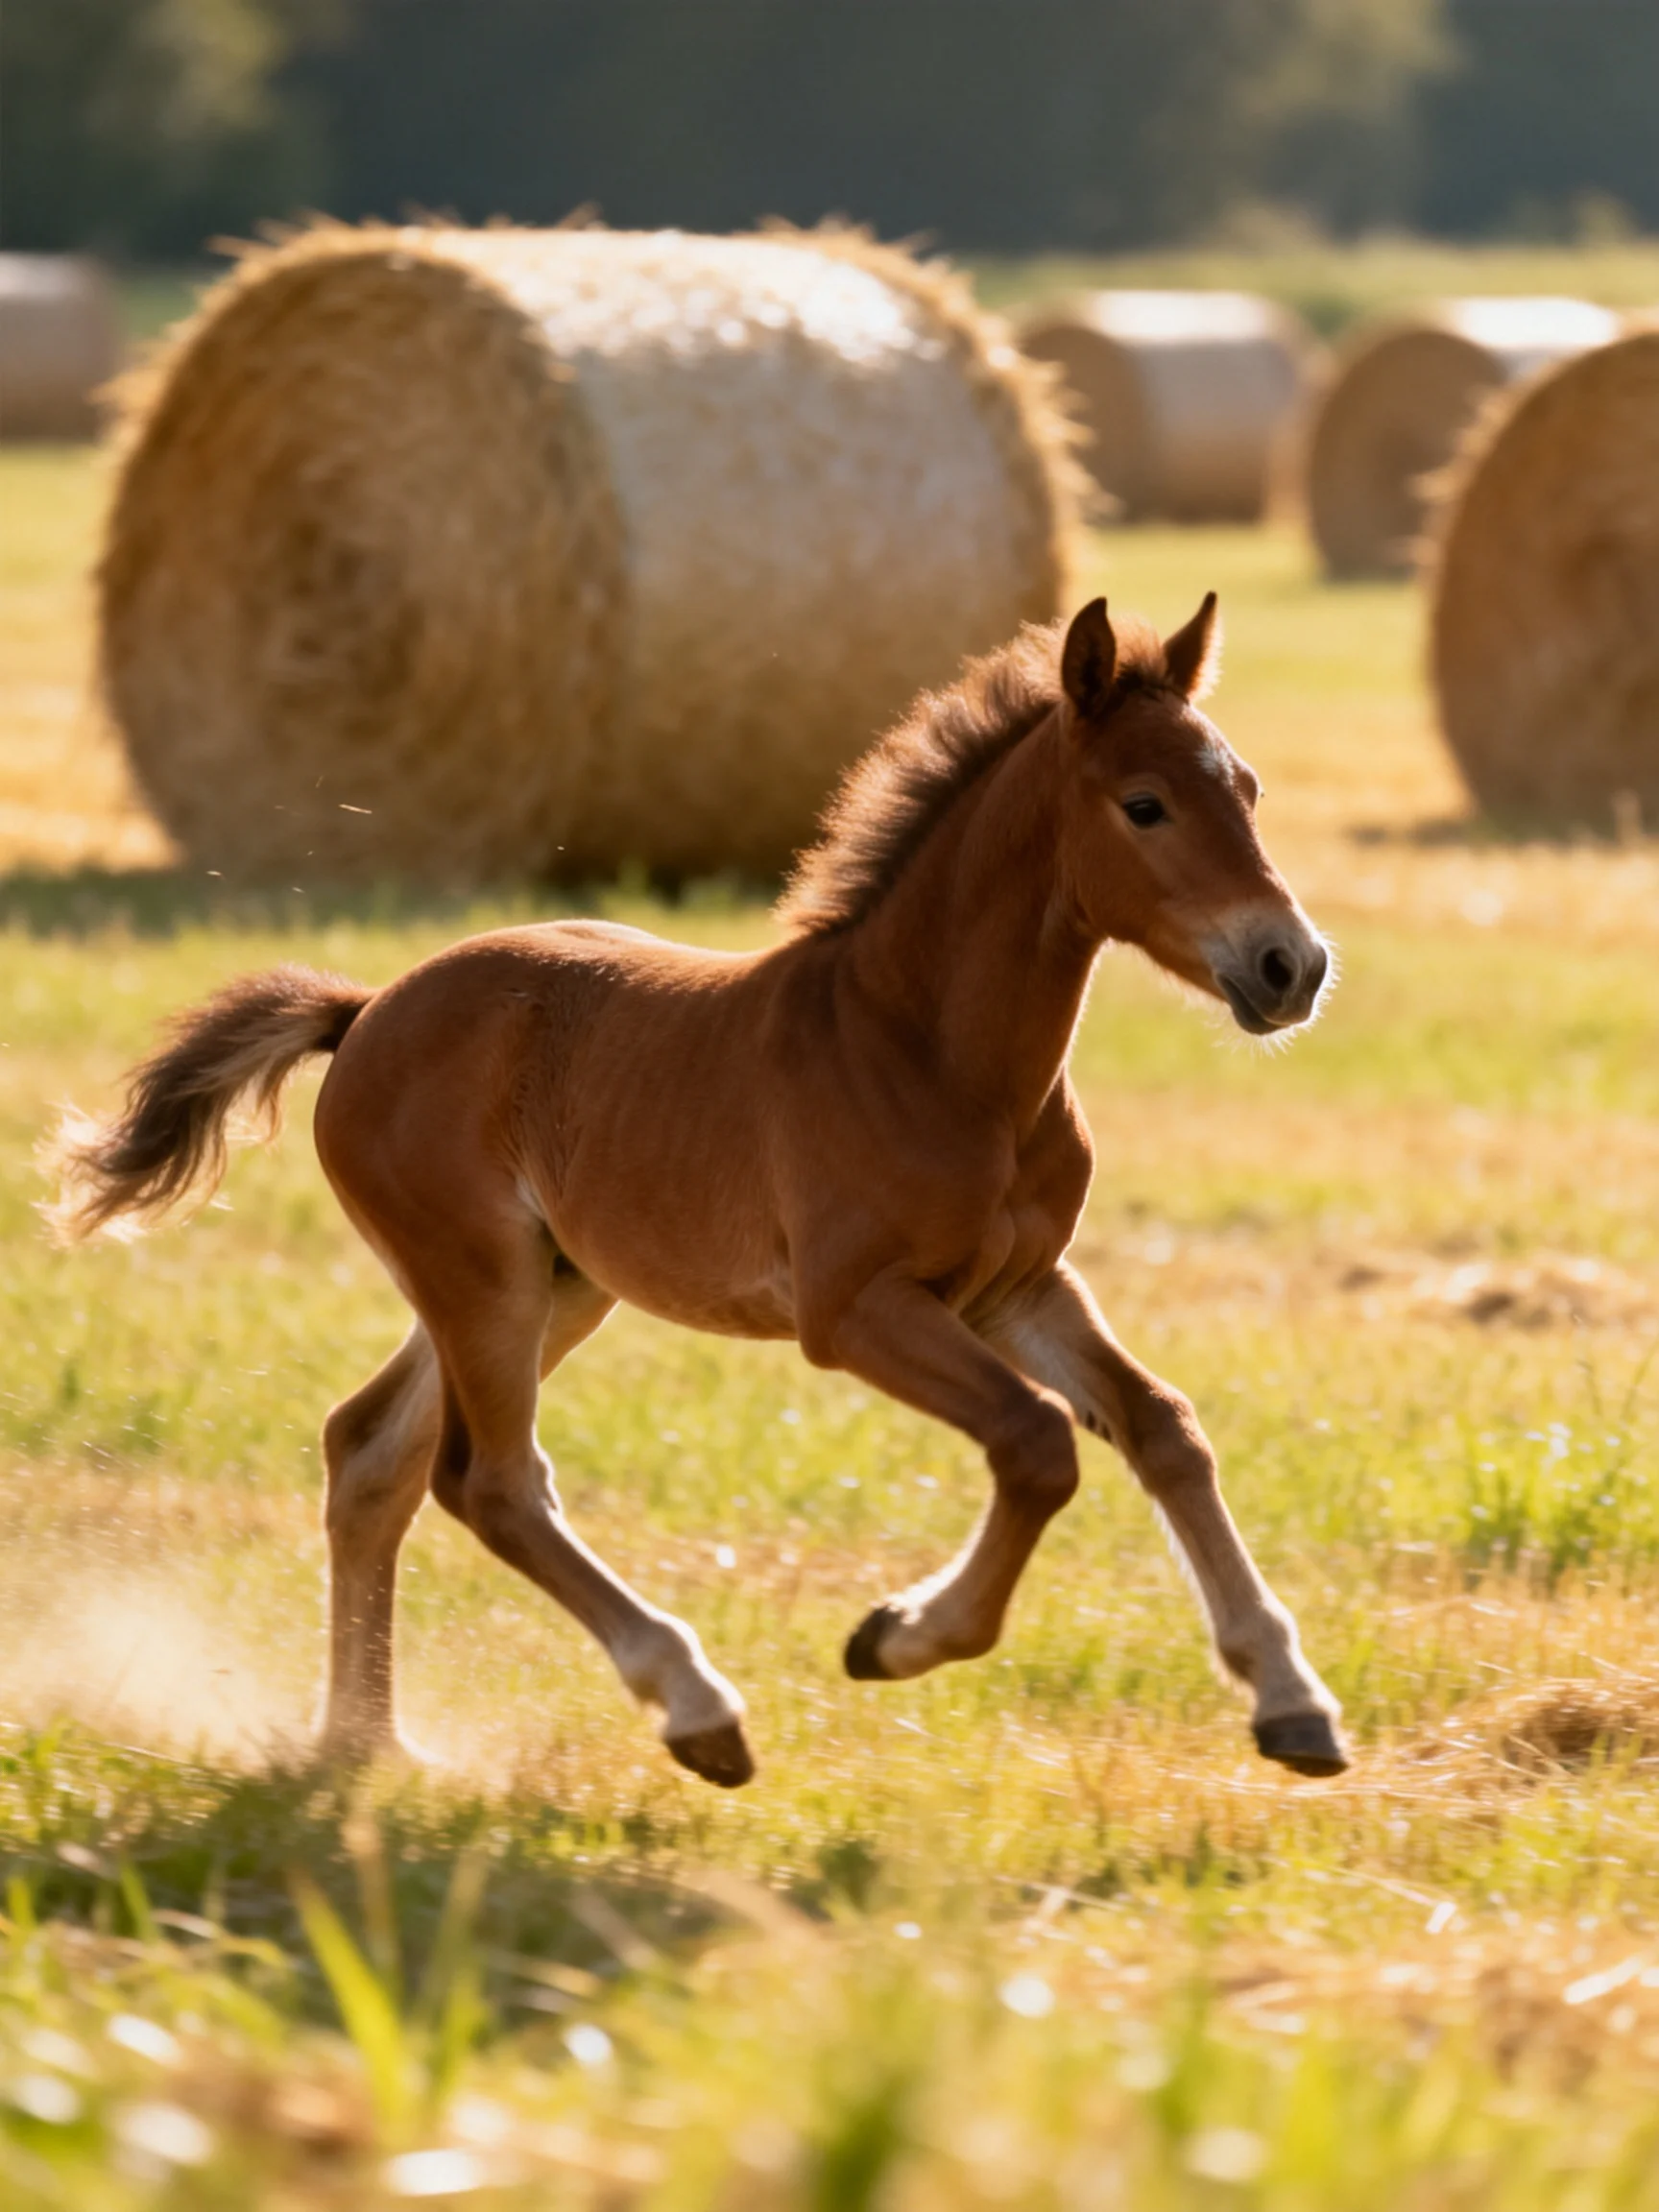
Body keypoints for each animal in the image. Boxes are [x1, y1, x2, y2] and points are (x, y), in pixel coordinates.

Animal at [48, 594, 1347, 1788]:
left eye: (1248, 789)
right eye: (1145, 804)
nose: (1290, 965)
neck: (927, 1050)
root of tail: (364, 1012)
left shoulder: (1019, 1286)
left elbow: (1162, 1426)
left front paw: (1291, 1702)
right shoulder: (854, 1308)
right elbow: (1036, 1443)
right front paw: (897, 1638)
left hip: (551, 1284)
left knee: (373, 1454)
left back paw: (366, 1745)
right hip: (484, 1281)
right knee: (491, 1483)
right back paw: (694, 1708)